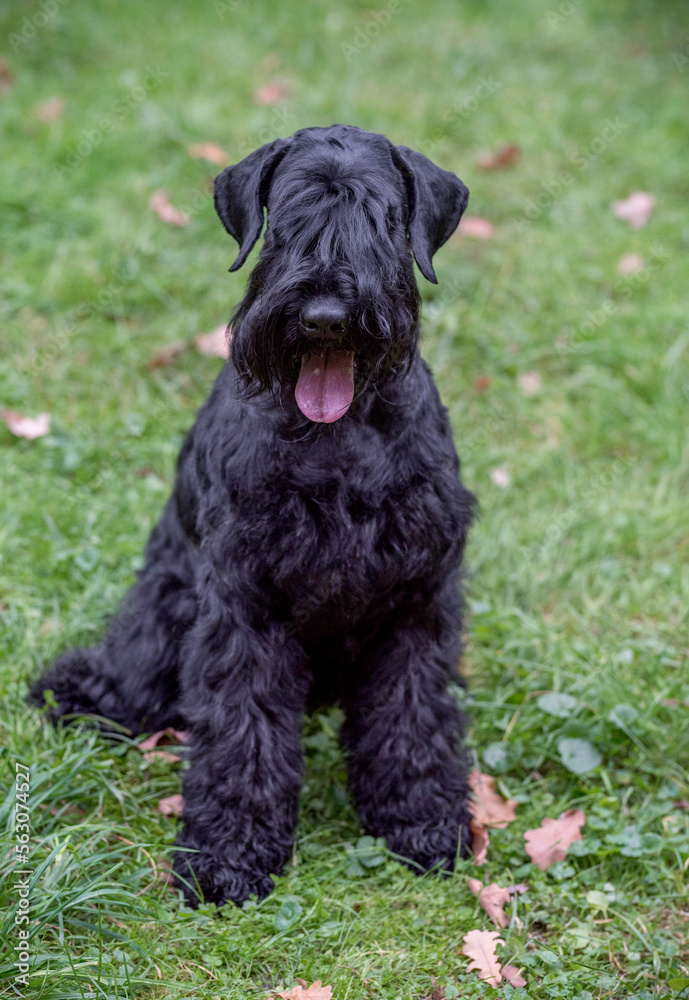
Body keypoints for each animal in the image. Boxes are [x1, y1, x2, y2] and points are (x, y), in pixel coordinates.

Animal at [29, 123, 476, 908]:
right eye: (286, 219)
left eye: (382, 218)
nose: (325, 316)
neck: (335, 435)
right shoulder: (245, 601)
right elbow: (242, 728)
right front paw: (228, 853)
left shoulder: (417, 598)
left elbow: (413, 714)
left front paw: (420, 818)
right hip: (166, 607)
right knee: (129, 672)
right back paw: (79, 691)